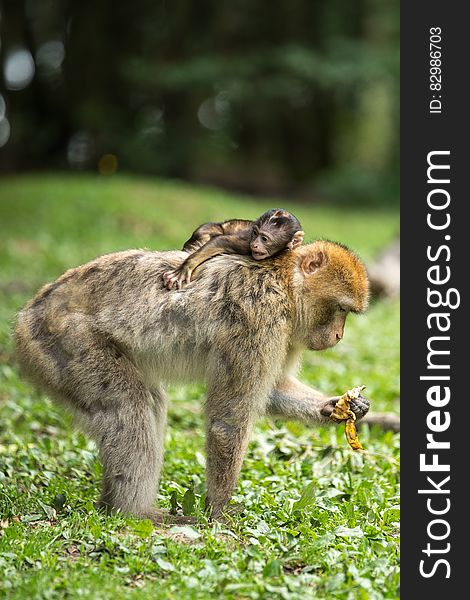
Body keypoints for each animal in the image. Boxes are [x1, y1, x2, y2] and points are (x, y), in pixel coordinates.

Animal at [15, 241, 370, 524]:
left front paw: (340, 406)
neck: (285, 283)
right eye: (340, 309)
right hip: (68, 343)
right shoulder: (259, 318)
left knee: (147, 403)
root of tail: (26, 317)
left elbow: (273, 390)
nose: (339, 335)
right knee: (130, 406)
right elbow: (229, 420)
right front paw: (221, 511)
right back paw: (135, 512)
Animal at [165, 207, 304, 290]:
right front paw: (185, 268)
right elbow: (221, 241)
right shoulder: (246, 243)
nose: (255, 244)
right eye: (255, 233)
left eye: (264, 239)